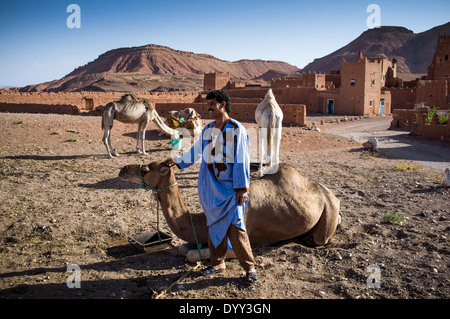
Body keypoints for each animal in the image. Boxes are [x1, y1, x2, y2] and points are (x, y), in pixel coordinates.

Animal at [118, 161, 340, 262]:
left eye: (146, 170)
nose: (122, 169)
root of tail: (329, 192)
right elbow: (184, 249)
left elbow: (192, 255)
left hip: (329, 208)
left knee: (321, 237)